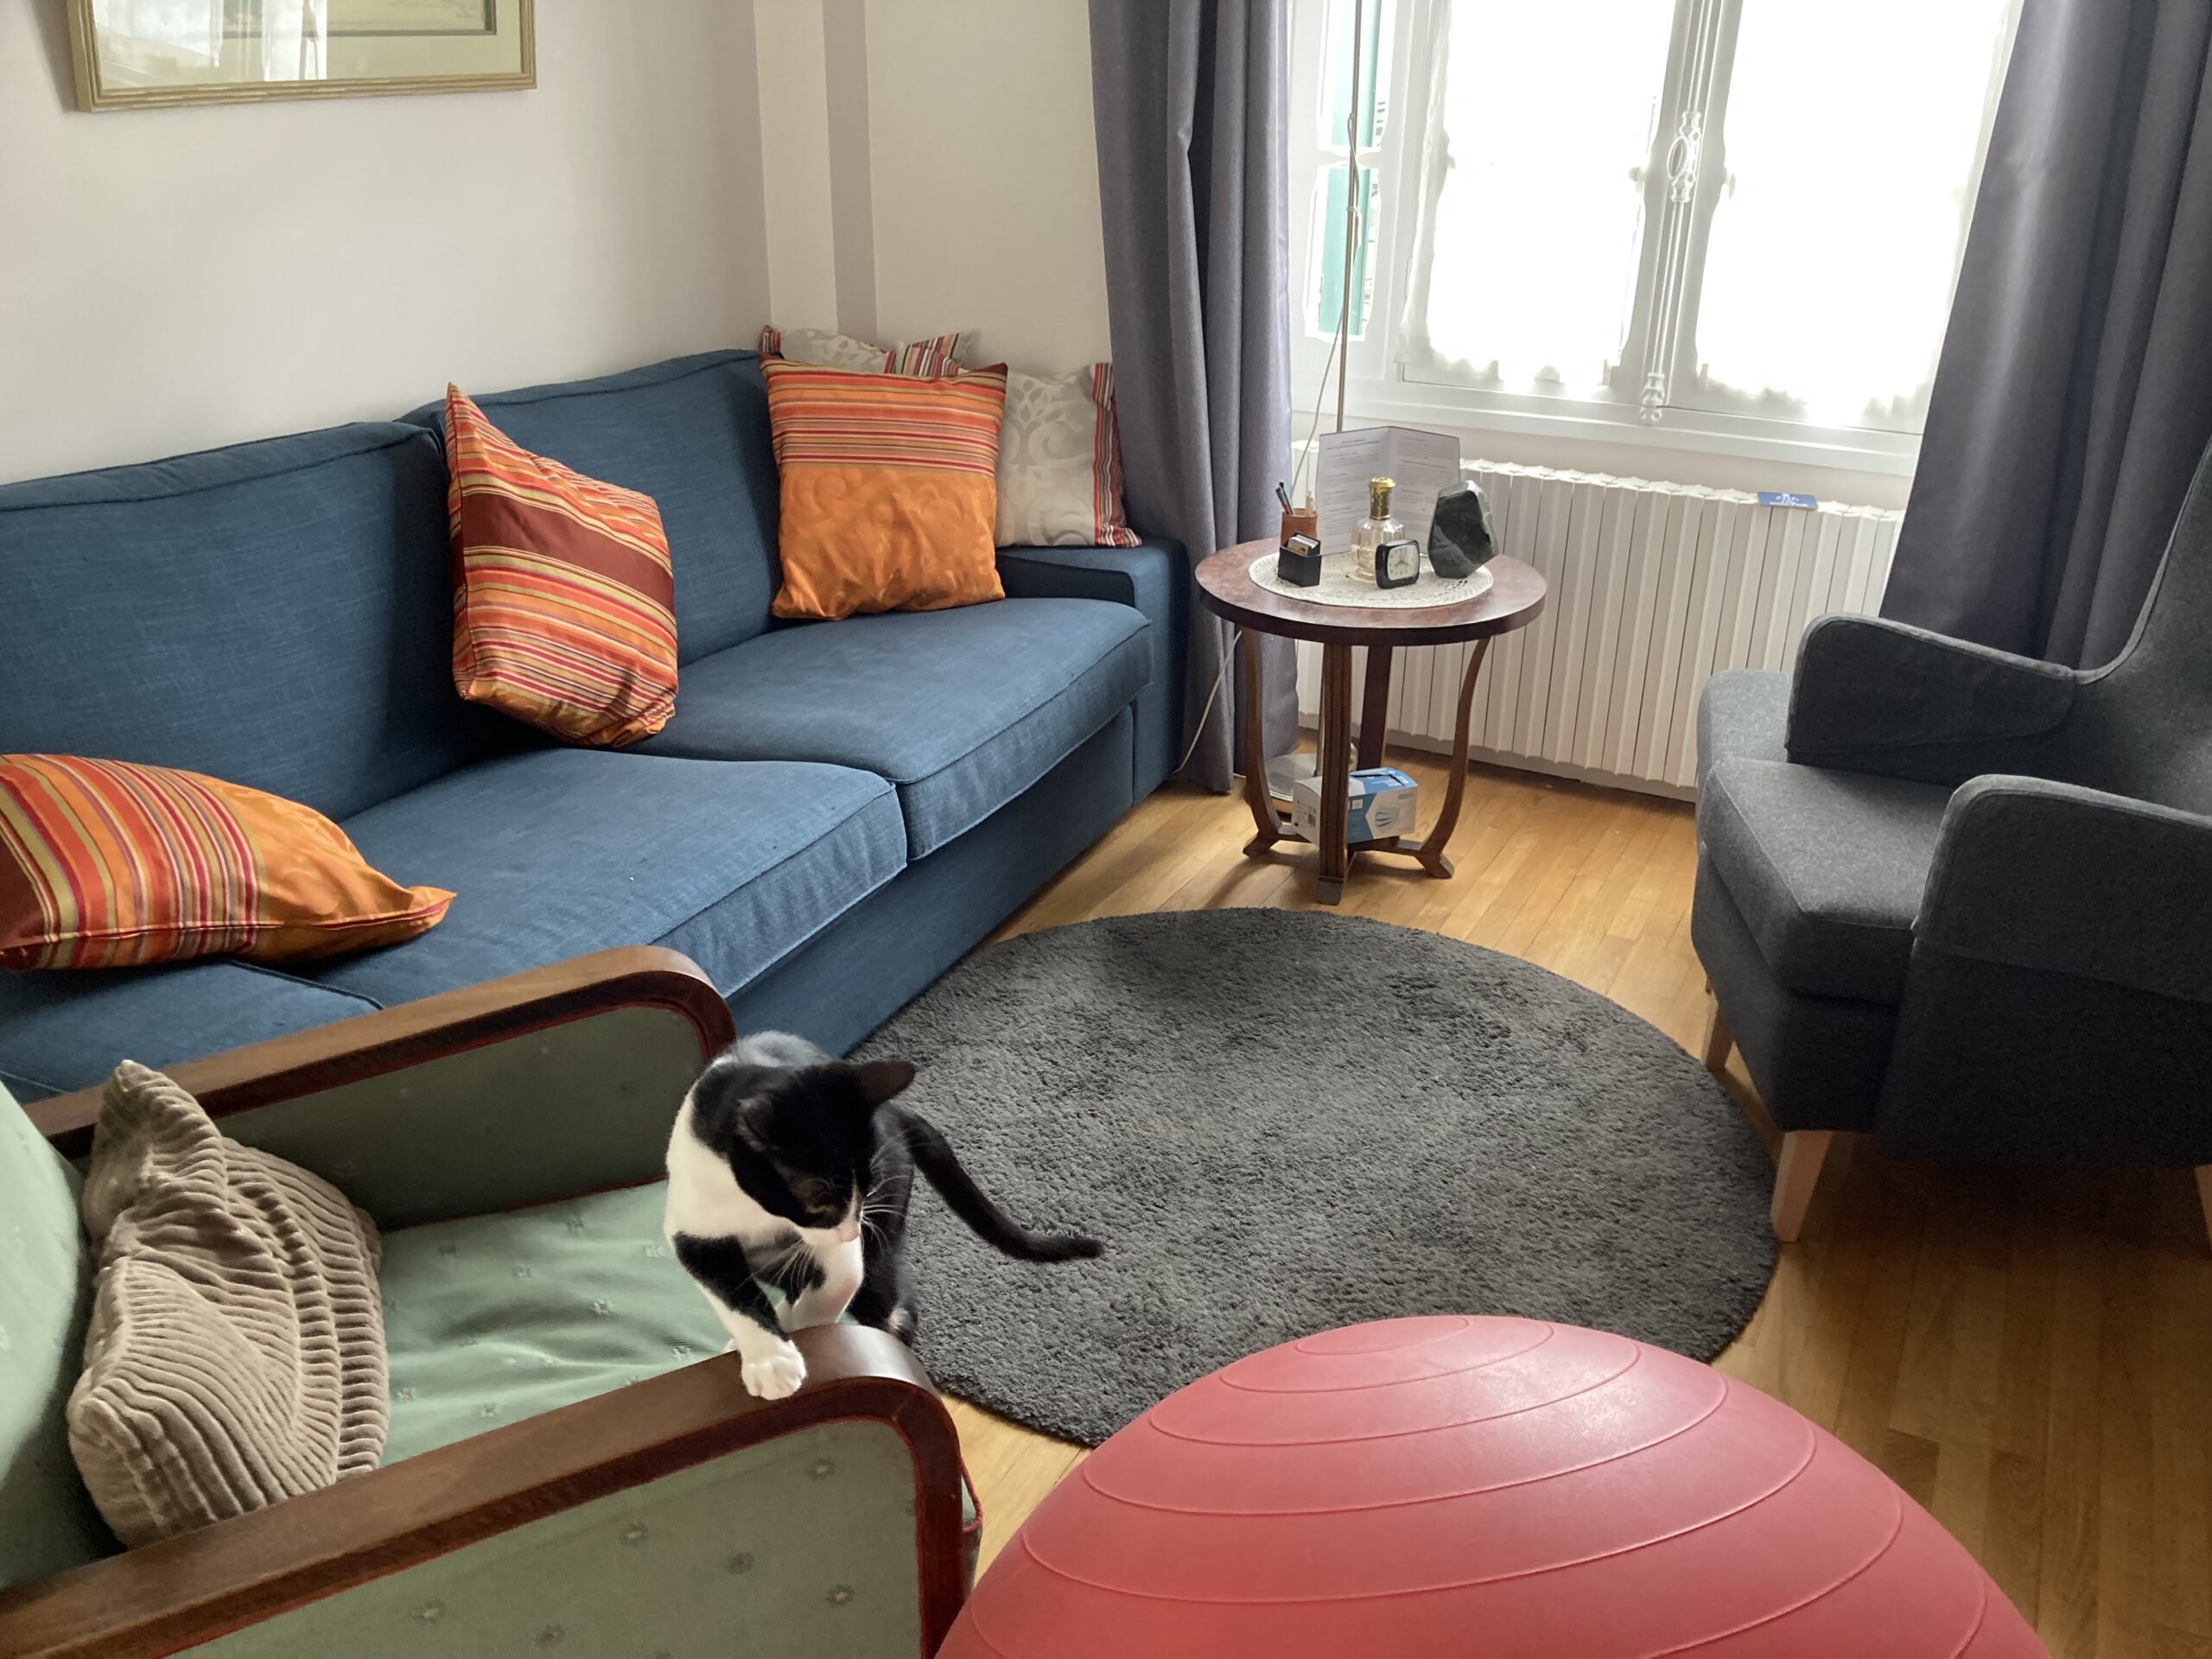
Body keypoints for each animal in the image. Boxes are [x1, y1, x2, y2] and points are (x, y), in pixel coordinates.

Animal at [663, 1030, 1102, 1400]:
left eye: (869, 1185)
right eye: (818, 1199)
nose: (850, 1231)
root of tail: (894, 1111)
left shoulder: (844, 1240)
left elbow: (841, 1279)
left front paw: (807, 1332)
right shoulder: (693, 1226)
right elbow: (733, 1296)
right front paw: (770, 1358)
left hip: (885, 1227)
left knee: (889, 1301)